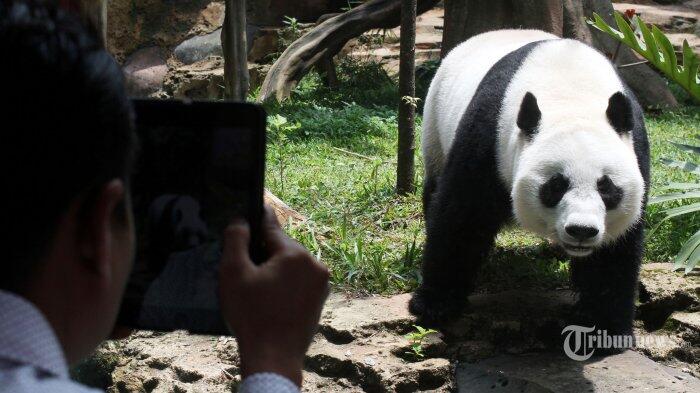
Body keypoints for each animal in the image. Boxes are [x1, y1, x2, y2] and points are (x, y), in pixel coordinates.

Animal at [410, 30, 652, 336]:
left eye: (606, 187)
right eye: (556, 185)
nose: (581, 230)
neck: (572, 96)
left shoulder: (636, 149)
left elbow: (615, 250)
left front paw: (605, 325)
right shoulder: (490, 136)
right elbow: (462, 215)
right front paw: (434, 304)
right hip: (434, 125)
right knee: (435, 186)